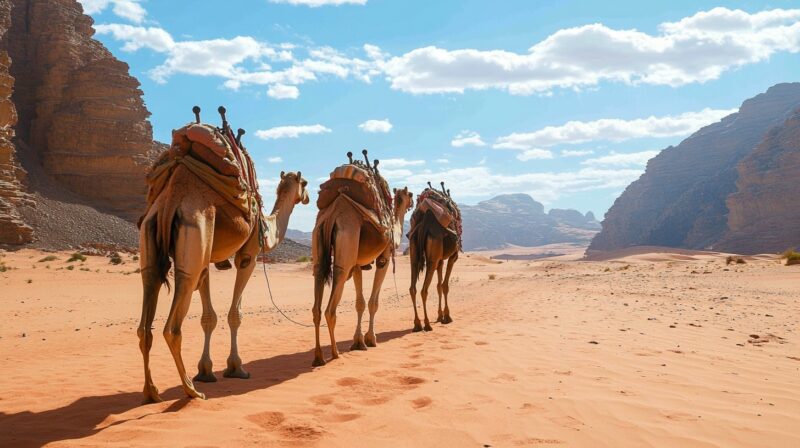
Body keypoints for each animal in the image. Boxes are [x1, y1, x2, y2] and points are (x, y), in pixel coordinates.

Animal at [138, 166, 306, 404]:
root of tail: (171, 200)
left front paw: (206, 371)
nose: (307, 198)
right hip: (193, 245)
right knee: (171, 328)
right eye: (306, 183)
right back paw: (191, 391)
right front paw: (236, 367)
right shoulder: (248, 255)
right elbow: (234, 314)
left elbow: (208, 317)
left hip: (151, 241)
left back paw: (151, 391)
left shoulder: (208, 260)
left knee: (145, 322)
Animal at [310, 162, 416, 368]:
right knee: (330, 307)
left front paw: (358, 342)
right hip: (347, 239)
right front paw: (371, 339)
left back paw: (318, 357)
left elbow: (360, 303)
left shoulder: (358, 265)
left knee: (316, 304)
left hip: (319, 243)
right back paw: (335, 353)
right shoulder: (384, 259)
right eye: (410, 194)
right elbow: (373, 302)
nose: (413, 201)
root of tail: (333, 214)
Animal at [410, 185, 460, 332]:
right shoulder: (452, 257)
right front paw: (447, 316)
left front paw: (439, 315)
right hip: (432, 260)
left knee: (413, 289)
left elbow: (438, 286)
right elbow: (444, 285)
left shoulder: (440, 260)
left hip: (414, 255)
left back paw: (417, 324)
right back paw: (426, 324)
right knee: (423, 290)